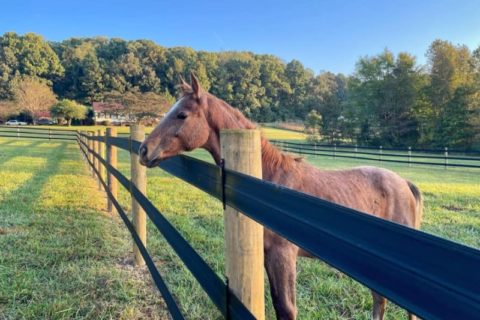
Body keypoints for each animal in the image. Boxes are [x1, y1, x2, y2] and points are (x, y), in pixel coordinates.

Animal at [139, 73, 424, 320]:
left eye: (182, 114)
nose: (144, 150)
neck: (270, 185)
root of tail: (405, 183)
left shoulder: (283, 255)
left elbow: (287, 309)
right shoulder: (268, 255)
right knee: (379, 299)